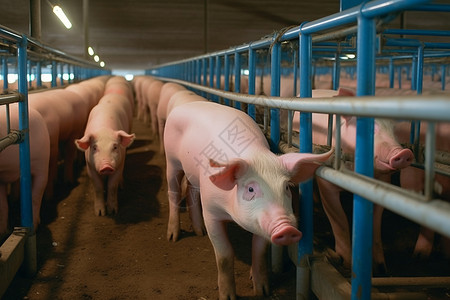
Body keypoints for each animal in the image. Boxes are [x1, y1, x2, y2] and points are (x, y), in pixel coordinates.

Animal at [163, 100, 332, 298]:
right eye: (251, 189)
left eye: (286, 187)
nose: (287, 228)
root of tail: (186, 105)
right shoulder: (211, 212)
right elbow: (224, 255)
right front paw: (227, 297)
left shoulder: (263, 225)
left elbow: (259, 251)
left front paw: (262, 291)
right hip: (172, 160)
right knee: (173, 191)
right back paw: (173, 237)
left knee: (191, 189)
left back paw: (199, 231)